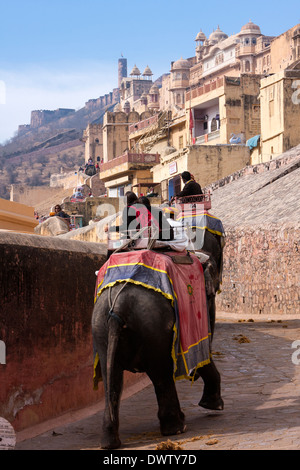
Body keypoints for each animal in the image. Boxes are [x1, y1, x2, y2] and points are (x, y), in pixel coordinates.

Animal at [92, 231, 224, 452]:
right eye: (212, 293)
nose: (193, 376)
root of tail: (118, 304)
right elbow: (203, 350)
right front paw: (213, 405)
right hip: (154, 325)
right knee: (161, 374)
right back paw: (176, 428)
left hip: (101, 327)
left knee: (113, 376)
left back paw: (109, 442)